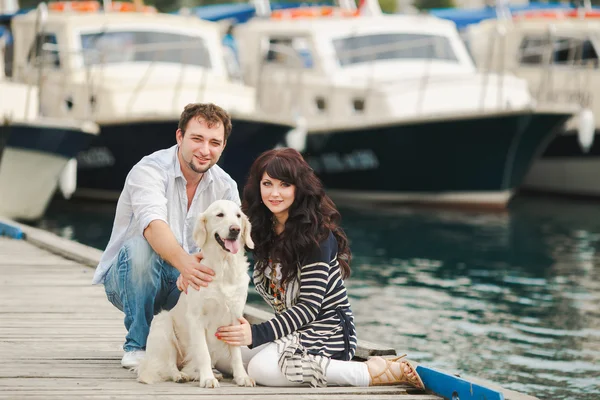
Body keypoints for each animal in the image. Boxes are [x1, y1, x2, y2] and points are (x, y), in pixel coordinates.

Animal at [136, 200, 255, 388]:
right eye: (220, 214)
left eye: (238, 215)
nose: (235, 229)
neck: (224, 267)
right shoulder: (196, 318)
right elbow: (203, 353)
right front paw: (207, 379)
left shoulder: (235, 319)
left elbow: (236, 353)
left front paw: (241, 377)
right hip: (163, 324)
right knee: (170, 365)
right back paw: (180, 375)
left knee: (188, 366)